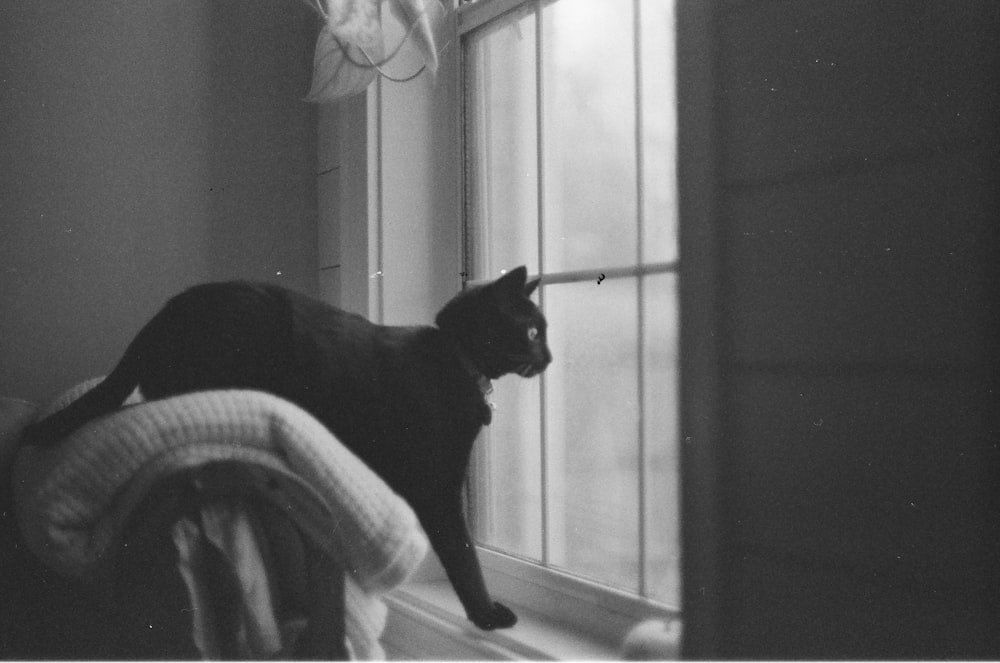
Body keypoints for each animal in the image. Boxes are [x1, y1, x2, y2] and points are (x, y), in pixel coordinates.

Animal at [23, 266, 552, 632]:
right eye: (532, 331)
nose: (549, 357)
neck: (457, 359)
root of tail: (161, 317)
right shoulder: (437, 488)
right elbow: (462, 554)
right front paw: (487, 615)